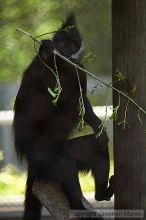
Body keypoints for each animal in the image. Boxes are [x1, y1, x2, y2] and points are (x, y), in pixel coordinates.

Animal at [13, 13, 113, 220]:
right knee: (64, 159)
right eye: (60, 43)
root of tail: (32, 164)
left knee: (98, 146)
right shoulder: (39, 70)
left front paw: (98, 125)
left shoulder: (79, 67)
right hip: (45, 161)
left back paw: (101, 194)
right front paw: (46, 51)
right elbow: (34, 105)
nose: (65, 52)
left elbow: (82, 101)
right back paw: (79, 206)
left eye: (72, 46)